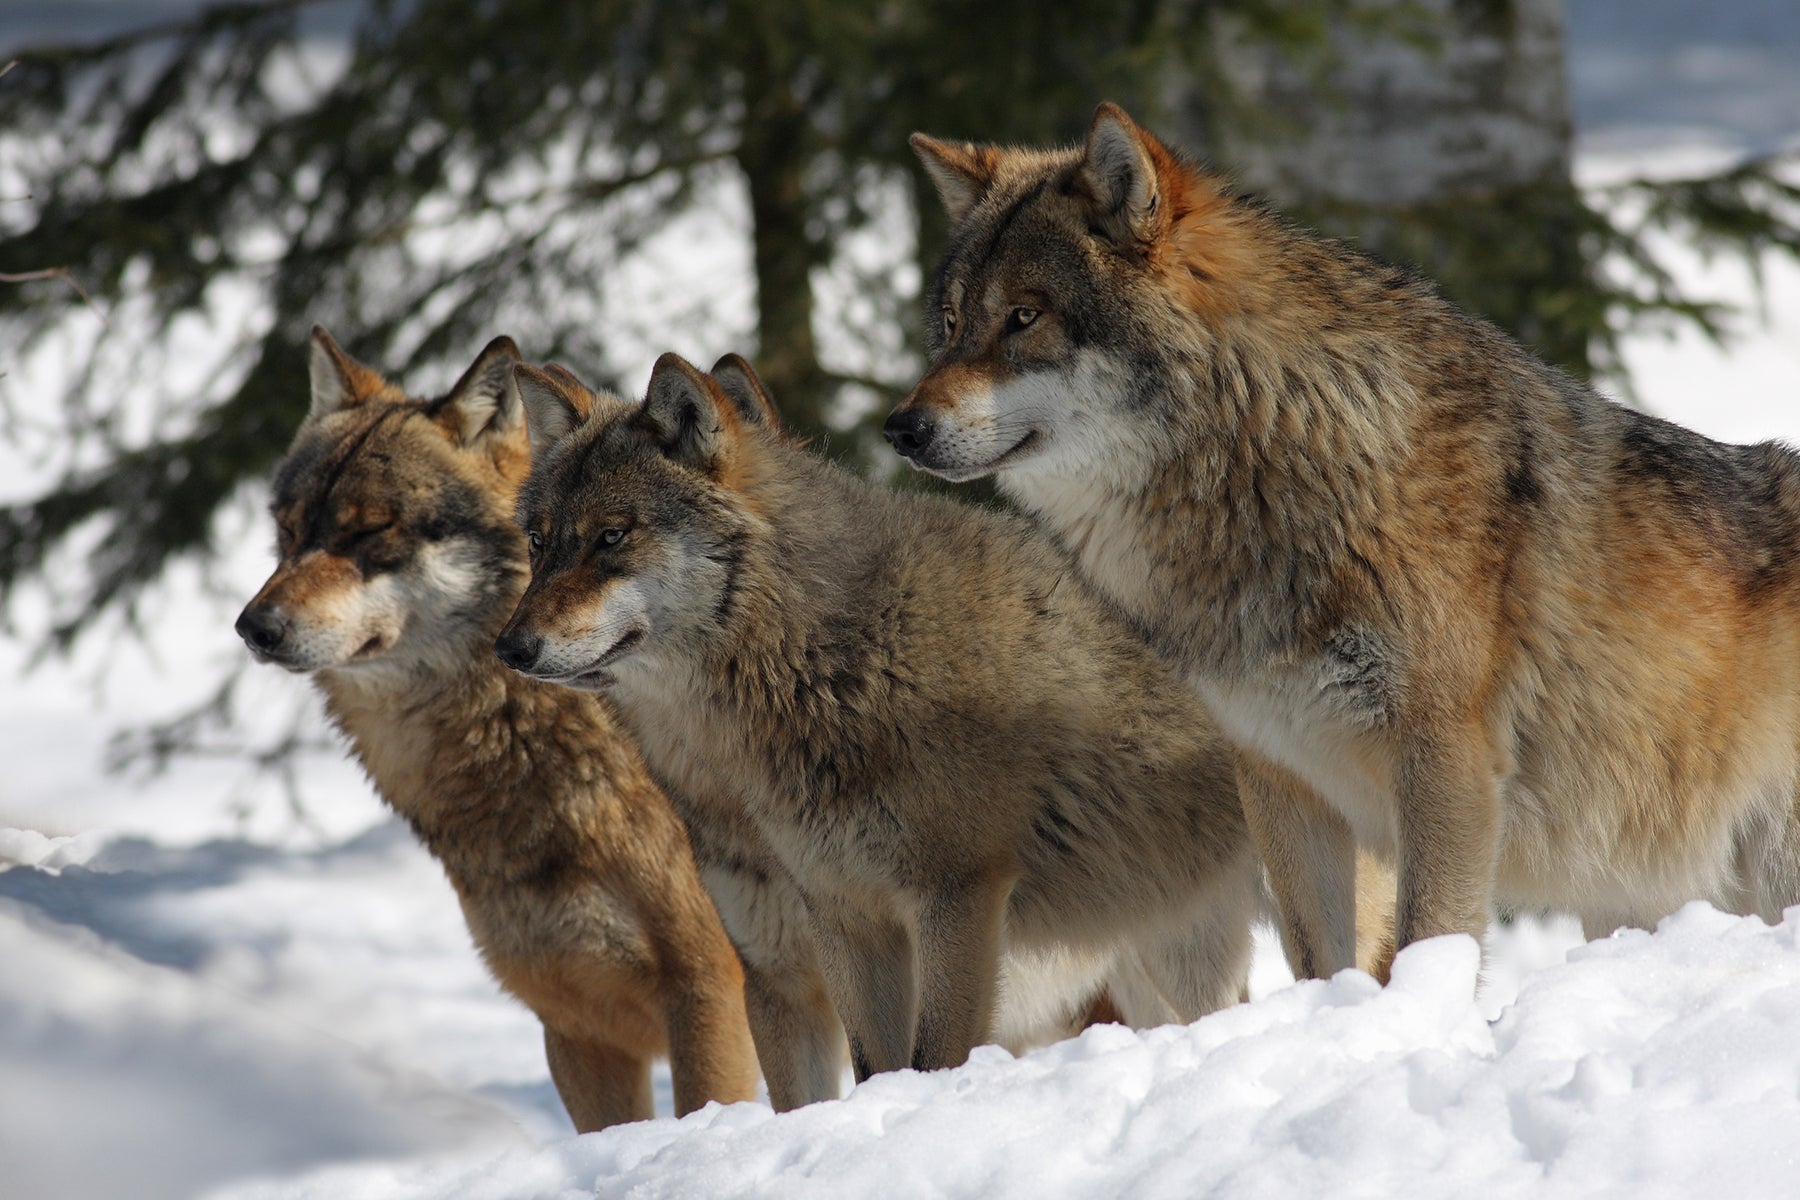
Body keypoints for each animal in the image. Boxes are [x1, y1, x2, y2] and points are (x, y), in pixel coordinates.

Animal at [489, 349, 1267, 1079]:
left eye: (612, 537)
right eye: (539, 542)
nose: (509, 647)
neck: (833, 658)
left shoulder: (959, 898)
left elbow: (933, 1057)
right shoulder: (844, 920)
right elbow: (874, 1066)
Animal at [896, 103, 1800, 978]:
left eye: (1024, 317)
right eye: (951, 323)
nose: (899, 428)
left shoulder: (1444, 763)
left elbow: (1428, 938)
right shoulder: (1281, 777)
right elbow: (1321, 959)